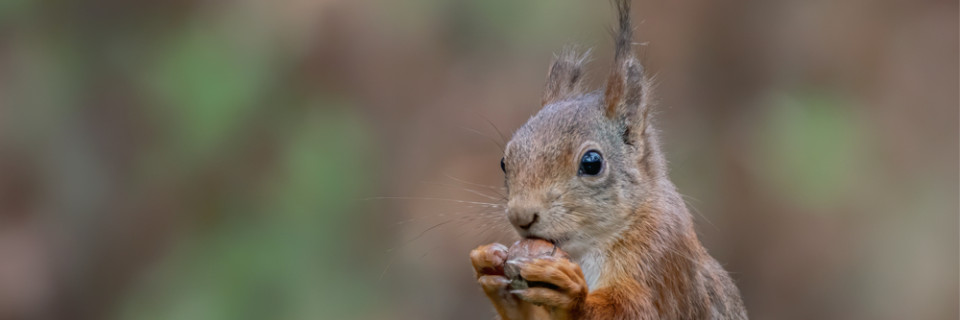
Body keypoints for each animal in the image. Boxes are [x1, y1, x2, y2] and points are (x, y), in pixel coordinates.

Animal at [466, 1, 752, 318]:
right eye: (504, 162)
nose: (520, 216)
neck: (590, 247)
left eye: (592, 163)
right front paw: (488, 267)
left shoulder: (662, 257)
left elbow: (636, 310)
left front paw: (571, 295)